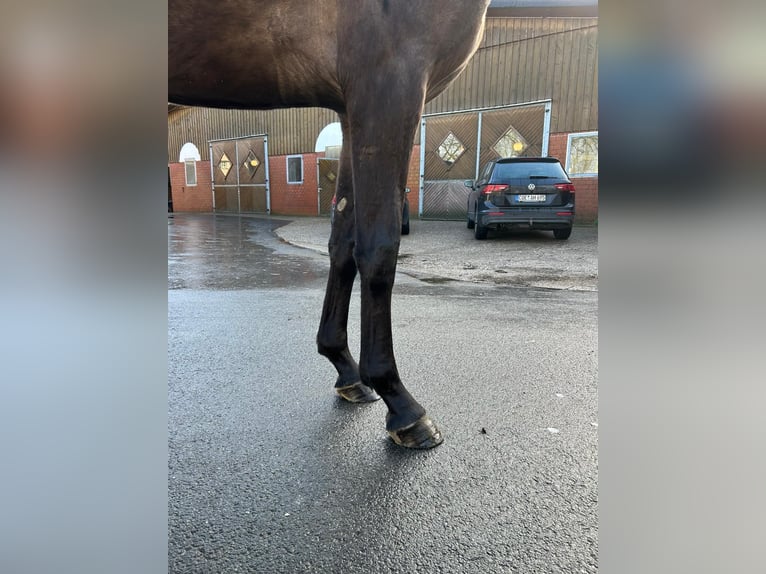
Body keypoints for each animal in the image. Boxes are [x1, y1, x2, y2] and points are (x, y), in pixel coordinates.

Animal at [169, 0, 490, 448]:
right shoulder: (390, 80)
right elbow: (377, 248)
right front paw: (399, 401)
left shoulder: (350, 108)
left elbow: (343, 245)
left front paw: (344, 366)